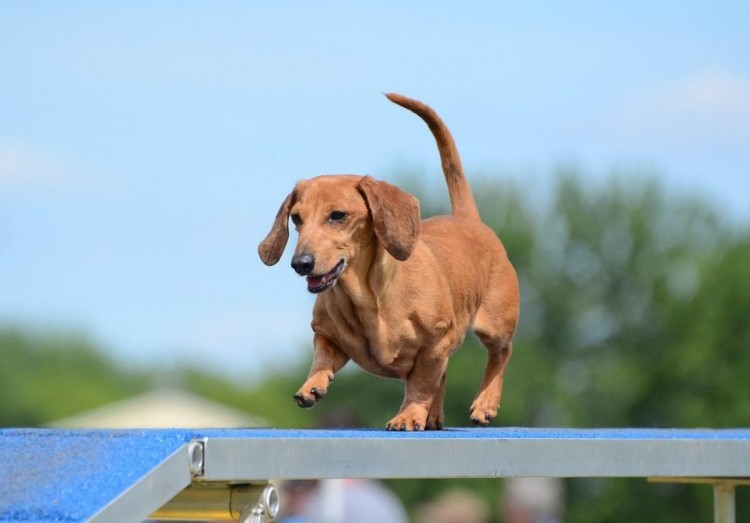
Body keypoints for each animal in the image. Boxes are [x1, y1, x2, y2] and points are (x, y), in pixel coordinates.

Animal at [258, 93, 516, 430]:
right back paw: (435, 416)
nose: (300, 263)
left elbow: (421, 383)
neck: (368, 298)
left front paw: (408, 415)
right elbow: (321, 359)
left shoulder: (435, 345)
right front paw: (311, 386)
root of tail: (469, 220)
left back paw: (485, 403)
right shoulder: (326, 335)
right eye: (296, 218)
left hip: (496, 325)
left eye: (338, 215)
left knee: (501, 354)